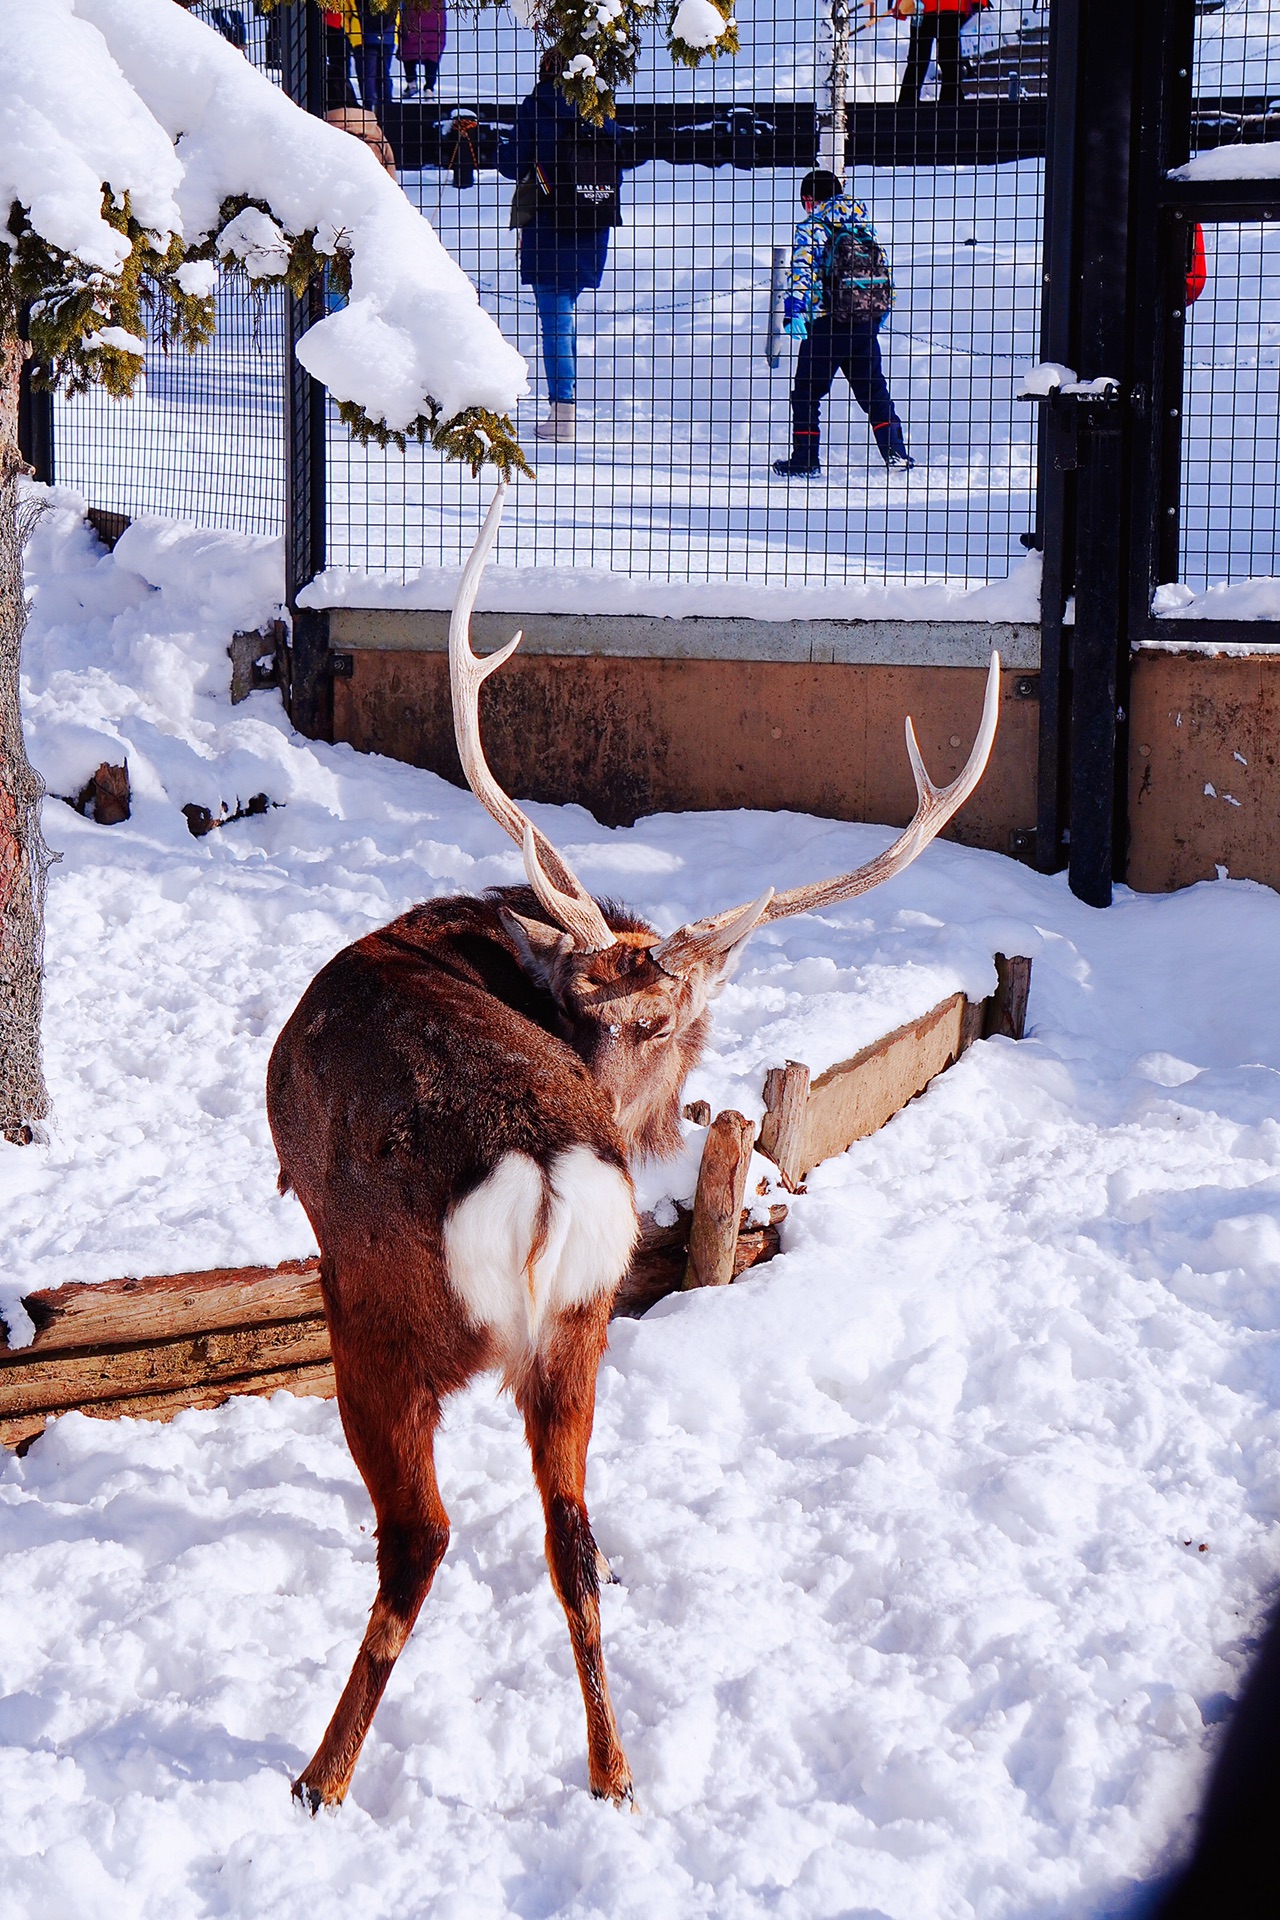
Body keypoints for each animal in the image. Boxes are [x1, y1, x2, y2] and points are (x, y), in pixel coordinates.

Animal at [262, 480, 997, 1812]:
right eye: (596, 1006)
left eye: (661, 1022)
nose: (619, 1085)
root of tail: (549, 1174)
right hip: (581, 1325)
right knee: (576, 1540)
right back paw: (612, 1774)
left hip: (388, 1310)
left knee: (421, 1533)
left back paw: (320, 1776)